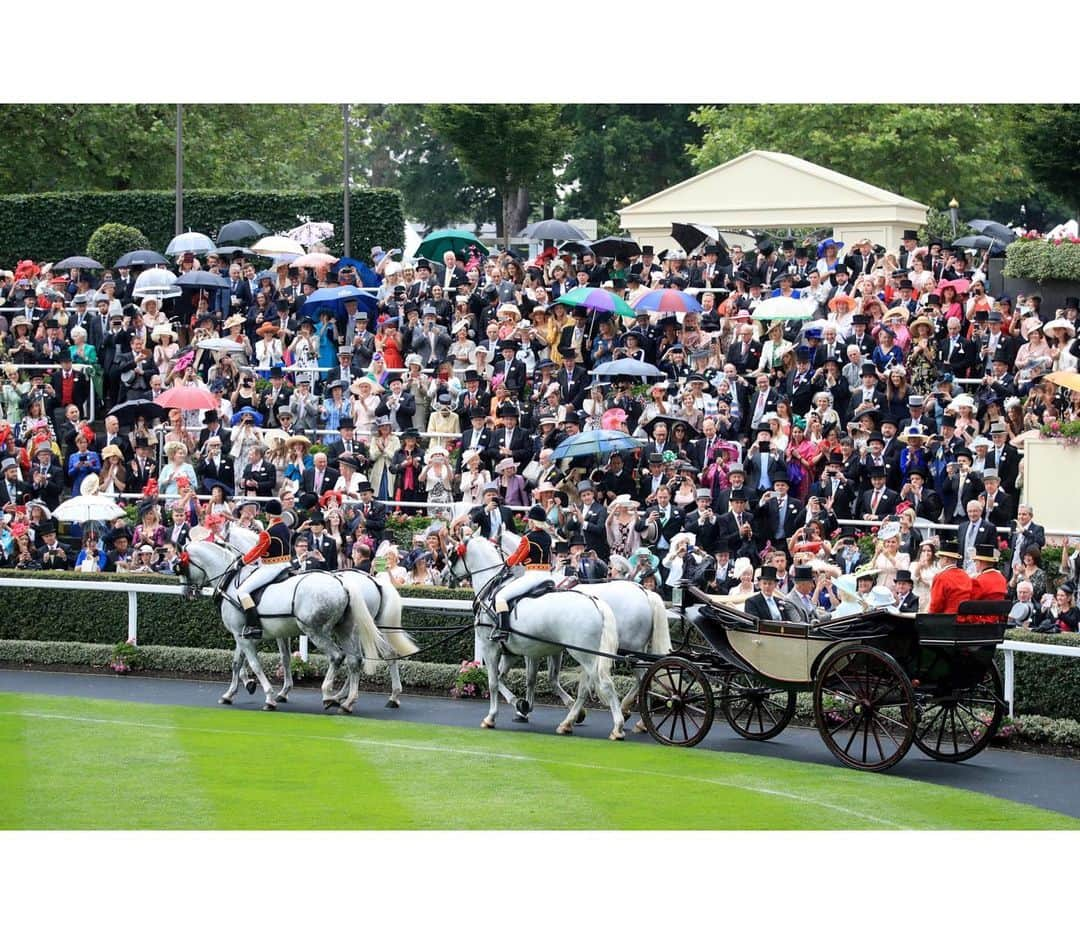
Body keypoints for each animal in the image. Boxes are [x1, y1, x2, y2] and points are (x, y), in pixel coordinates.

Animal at [179, 535, 390, 712]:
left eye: (180, 565)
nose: (185, 592)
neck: (231, 584)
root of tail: (343, 583)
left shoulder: (243, 637)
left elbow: (255, 664)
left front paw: (269, 697)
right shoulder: (243, 635)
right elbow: (238, 663)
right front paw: (231, 693)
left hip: (315, 632)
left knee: (337, 657)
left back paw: (329, 695)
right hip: (345, 630)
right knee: (355, 661)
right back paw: (347, 702)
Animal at [223, 524, 416, 708]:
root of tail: (373, 580)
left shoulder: (246, 632)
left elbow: (250, 661)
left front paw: (255, 687)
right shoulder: (270, 633)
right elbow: (278, 659)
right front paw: (267, 689)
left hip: (329, 630)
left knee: (348, 658)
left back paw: (337, 696)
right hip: (365, 628)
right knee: (375, 656)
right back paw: (379, 697)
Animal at [447, 531, 626, 734]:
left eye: (451, 554)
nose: (448, 577)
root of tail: (595, 602)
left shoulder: (490, 647)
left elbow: (492, 681)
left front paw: (491, 717)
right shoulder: (512, 652)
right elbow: (506, 679)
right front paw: (520, 704)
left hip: (585, 655)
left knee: (604, 684)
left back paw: (617, 726)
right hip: (587, 656)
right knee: (585, 689)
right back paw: (568, 722)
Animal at [498, 529, 669, 725]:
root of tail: (644, 591)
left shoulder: (532, 646)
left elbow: (532, 678)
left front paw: (524, 709)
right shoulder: (551, 647)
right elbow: (547, 678)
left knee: (643, 678)